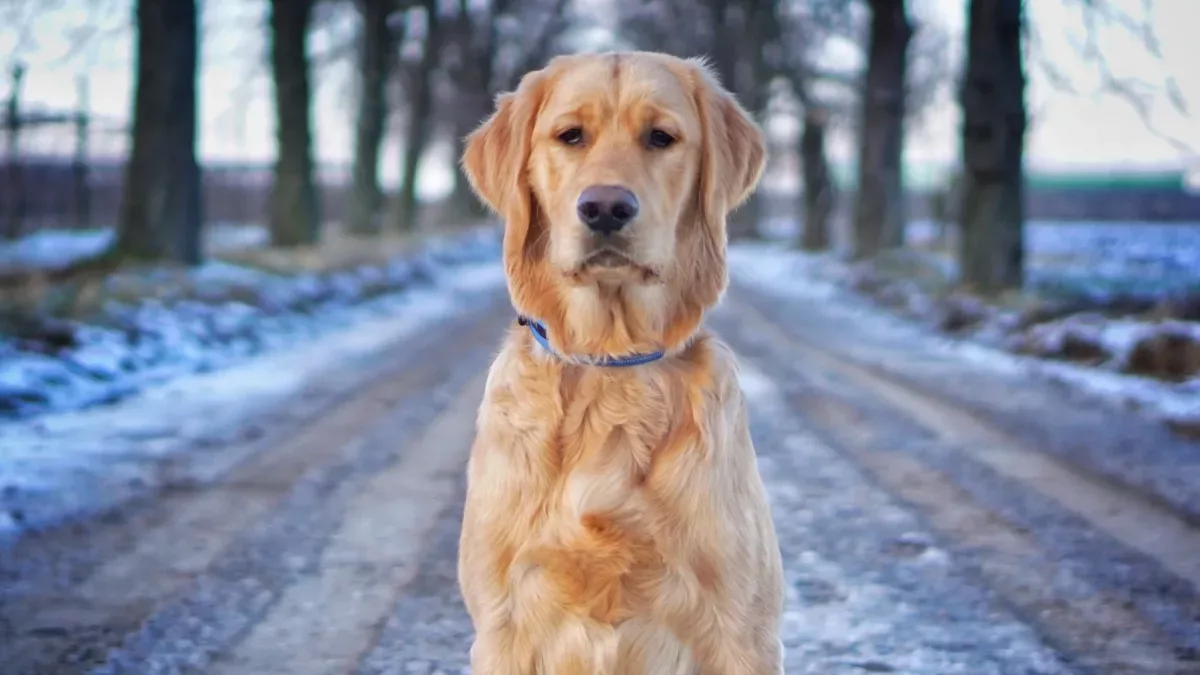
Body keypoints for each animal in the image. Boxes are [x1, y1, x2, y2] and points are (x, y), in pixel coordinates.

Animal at [453, 51, 782, 672]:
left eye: (661, 137)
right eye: (570, 136)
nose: (605, 207)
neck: (611, 363)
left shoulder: (741, 630)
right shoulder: (504, 625)